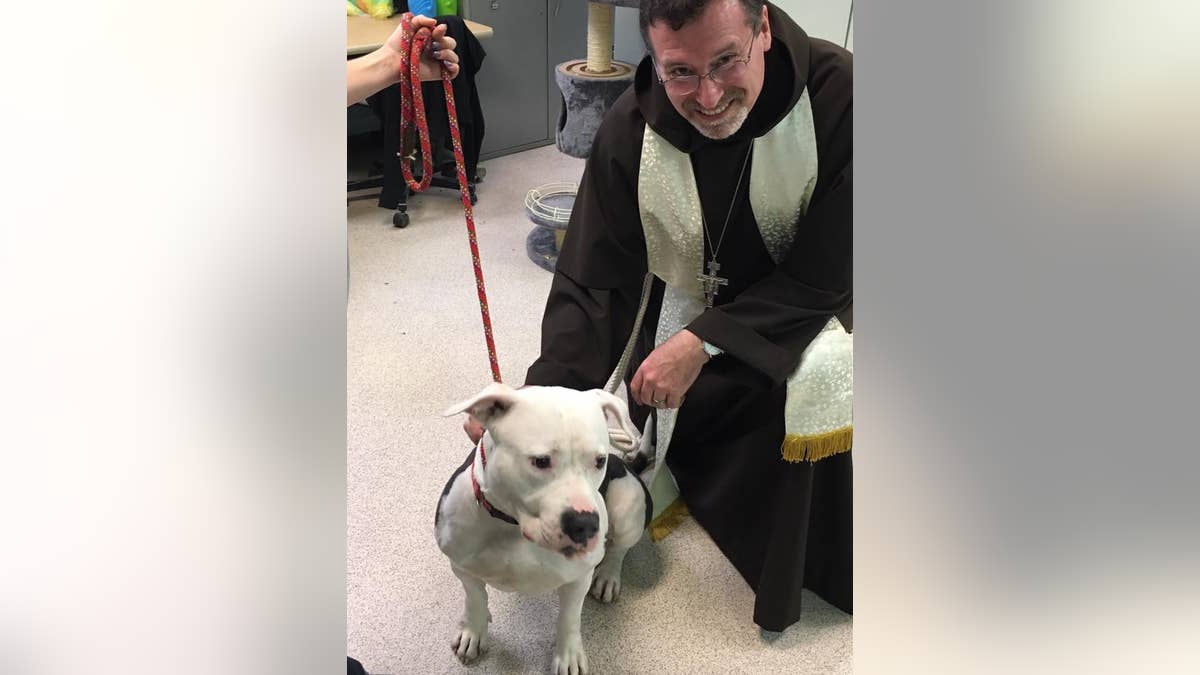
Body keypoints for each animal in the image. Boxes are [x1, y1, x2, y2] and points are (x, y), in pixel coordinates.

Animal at [436, 381, 652, 667]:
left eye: (599, 461)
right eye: (541, 461)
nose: (585, 524)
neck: (512, 526)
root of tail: (628, 464)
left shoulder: (578, 578)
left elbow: (569, 618)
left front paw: (568, 654)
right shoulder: (462, 566)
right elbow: (475, 599)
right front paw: (474, 630)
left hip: (627, 503)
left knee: (618, 549)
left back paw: (608, 575)